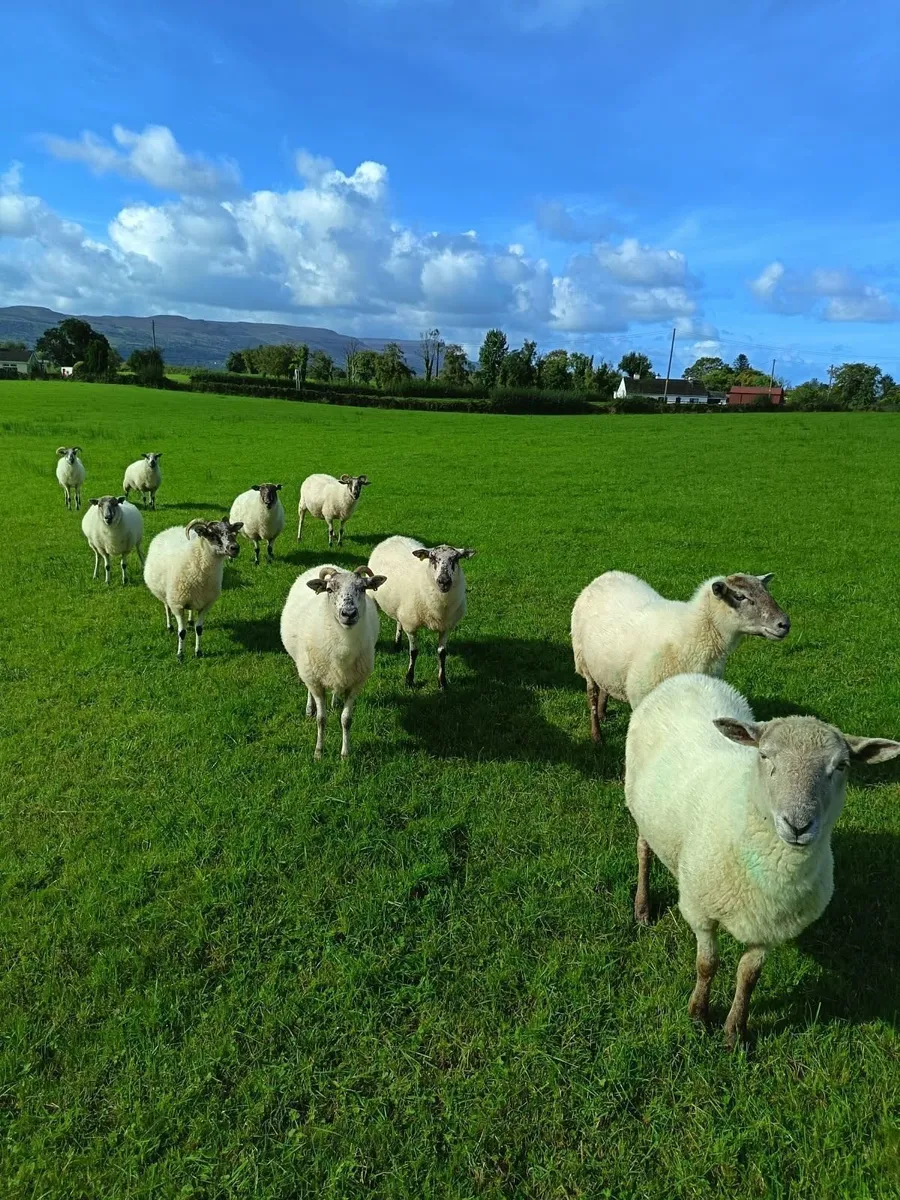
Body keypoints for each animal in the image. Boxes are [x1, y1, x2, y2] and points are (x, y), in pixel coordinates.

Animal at [143, 518, 243, 659]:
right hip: (165, 594)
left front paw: (198, 652)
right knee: (167, 608)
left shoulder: (206, 605)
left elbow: (199, 629)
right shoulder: (177, 605)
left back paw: (190, 620)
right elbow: (182, 632)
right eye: (212, 534)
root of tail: (171, 528)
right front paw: (180, 655)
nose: (235, 548)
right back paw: (169, 626)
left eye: (232, 532)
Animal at [280, 564, 386, 759]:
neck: (342, 642)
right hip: (307, 668)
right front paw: (319, 752)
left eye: (363, 588)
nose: (349, 613)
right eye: (329, 589)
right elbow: (321, 719)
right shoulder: (315, 682)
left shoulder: (355, 684)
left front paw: (345, 753)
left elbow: (346, 719)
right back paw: (310, 708)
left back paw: (335, 701)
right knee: (308, 689)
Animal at [368, 536, 476, 689]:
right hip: (374, 597)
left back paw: (397, 644)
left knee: (398, 621)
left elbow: (442, 653)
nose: (444, 581)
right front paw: (409, 680)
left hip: (402, 608)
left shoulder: (446, 626)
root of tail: (393, 538)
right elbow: (414, 652)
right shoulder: (411, 625)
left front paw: (442, 682)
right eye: (432, 558)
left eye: (456, 558)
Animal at [571, 571, 790, 742]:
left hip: (606, 665)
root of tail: (605, 575)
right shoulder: (641, 695)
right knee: (592, 694)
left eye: (766, 591)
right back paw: (597, 734)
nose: (785, 624)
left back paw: (602, 713)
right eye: (740, 596)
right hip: (583, 660)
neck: (692, 633)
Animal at [625, 672, 900, 1047]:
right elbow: (707, 964)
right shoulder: (700, 909)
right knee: (643, 850)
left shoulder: (770, 926)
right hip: (640, 809)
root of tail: (687, 676)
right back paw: (642, 907)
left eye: (841, 766)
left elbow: (749, 976)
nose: (798, 824)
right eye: (766, 756)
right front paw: (698, 1015)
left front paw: (735, 1033)